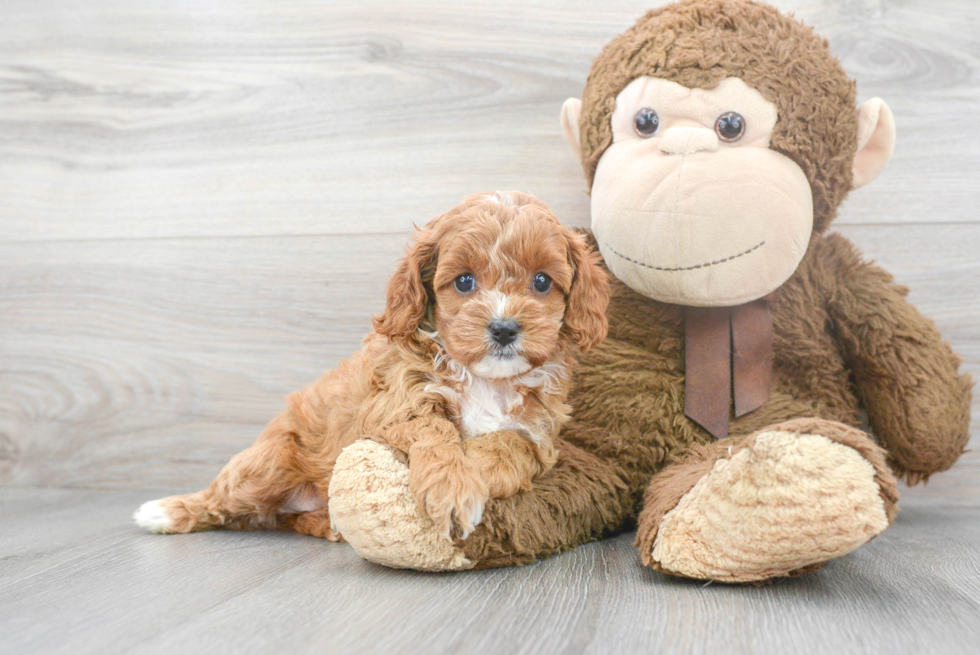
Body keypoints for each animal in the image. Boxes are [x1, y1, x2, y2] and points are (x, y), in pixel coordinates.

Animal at [134, 192, 608, 540]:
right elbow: (434, 430)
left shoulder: (539, 435)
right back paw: (165, 511)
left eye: (542, 281)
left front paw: (476, 466)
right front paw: (453, 486)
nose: (504, 328)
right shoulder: (395, 403)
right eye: (464, 281)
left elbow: (508, 444)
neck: (483, 379)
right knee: (222, 499)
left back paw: (328, 524)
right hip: (271, 463)